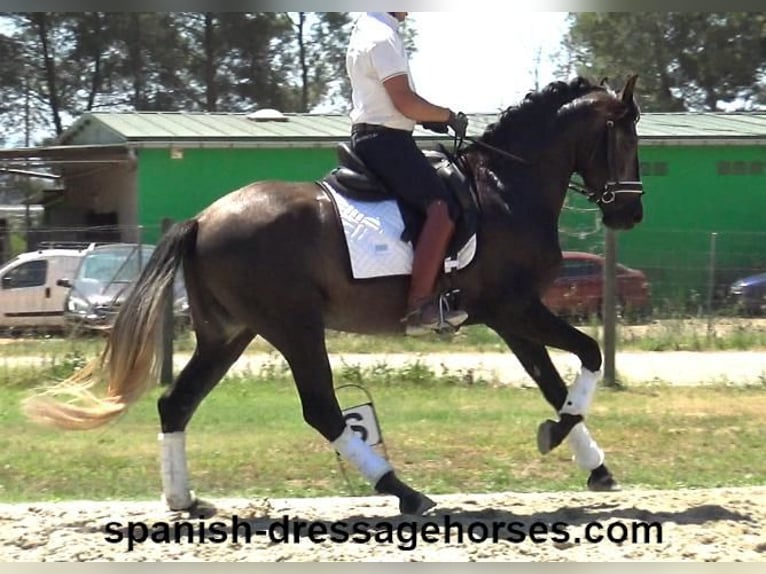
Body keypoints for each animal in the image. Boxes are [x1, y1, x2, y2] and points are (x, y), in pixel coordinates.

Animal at [25, 75, 648, 516]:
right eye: (625, 138)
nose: (631, 214)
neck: (506, 185)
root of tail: (203, 218)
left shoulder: (509, 316)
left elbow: (553, 383)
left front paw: (593, 464)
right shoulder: (514, 307)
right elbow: (588, 355)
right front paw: (558, 436)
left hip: (228, 333)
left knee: (177, 403)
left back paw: (183, 500)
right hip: (294, 327)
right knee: (322, 410)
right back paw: (405, 492)